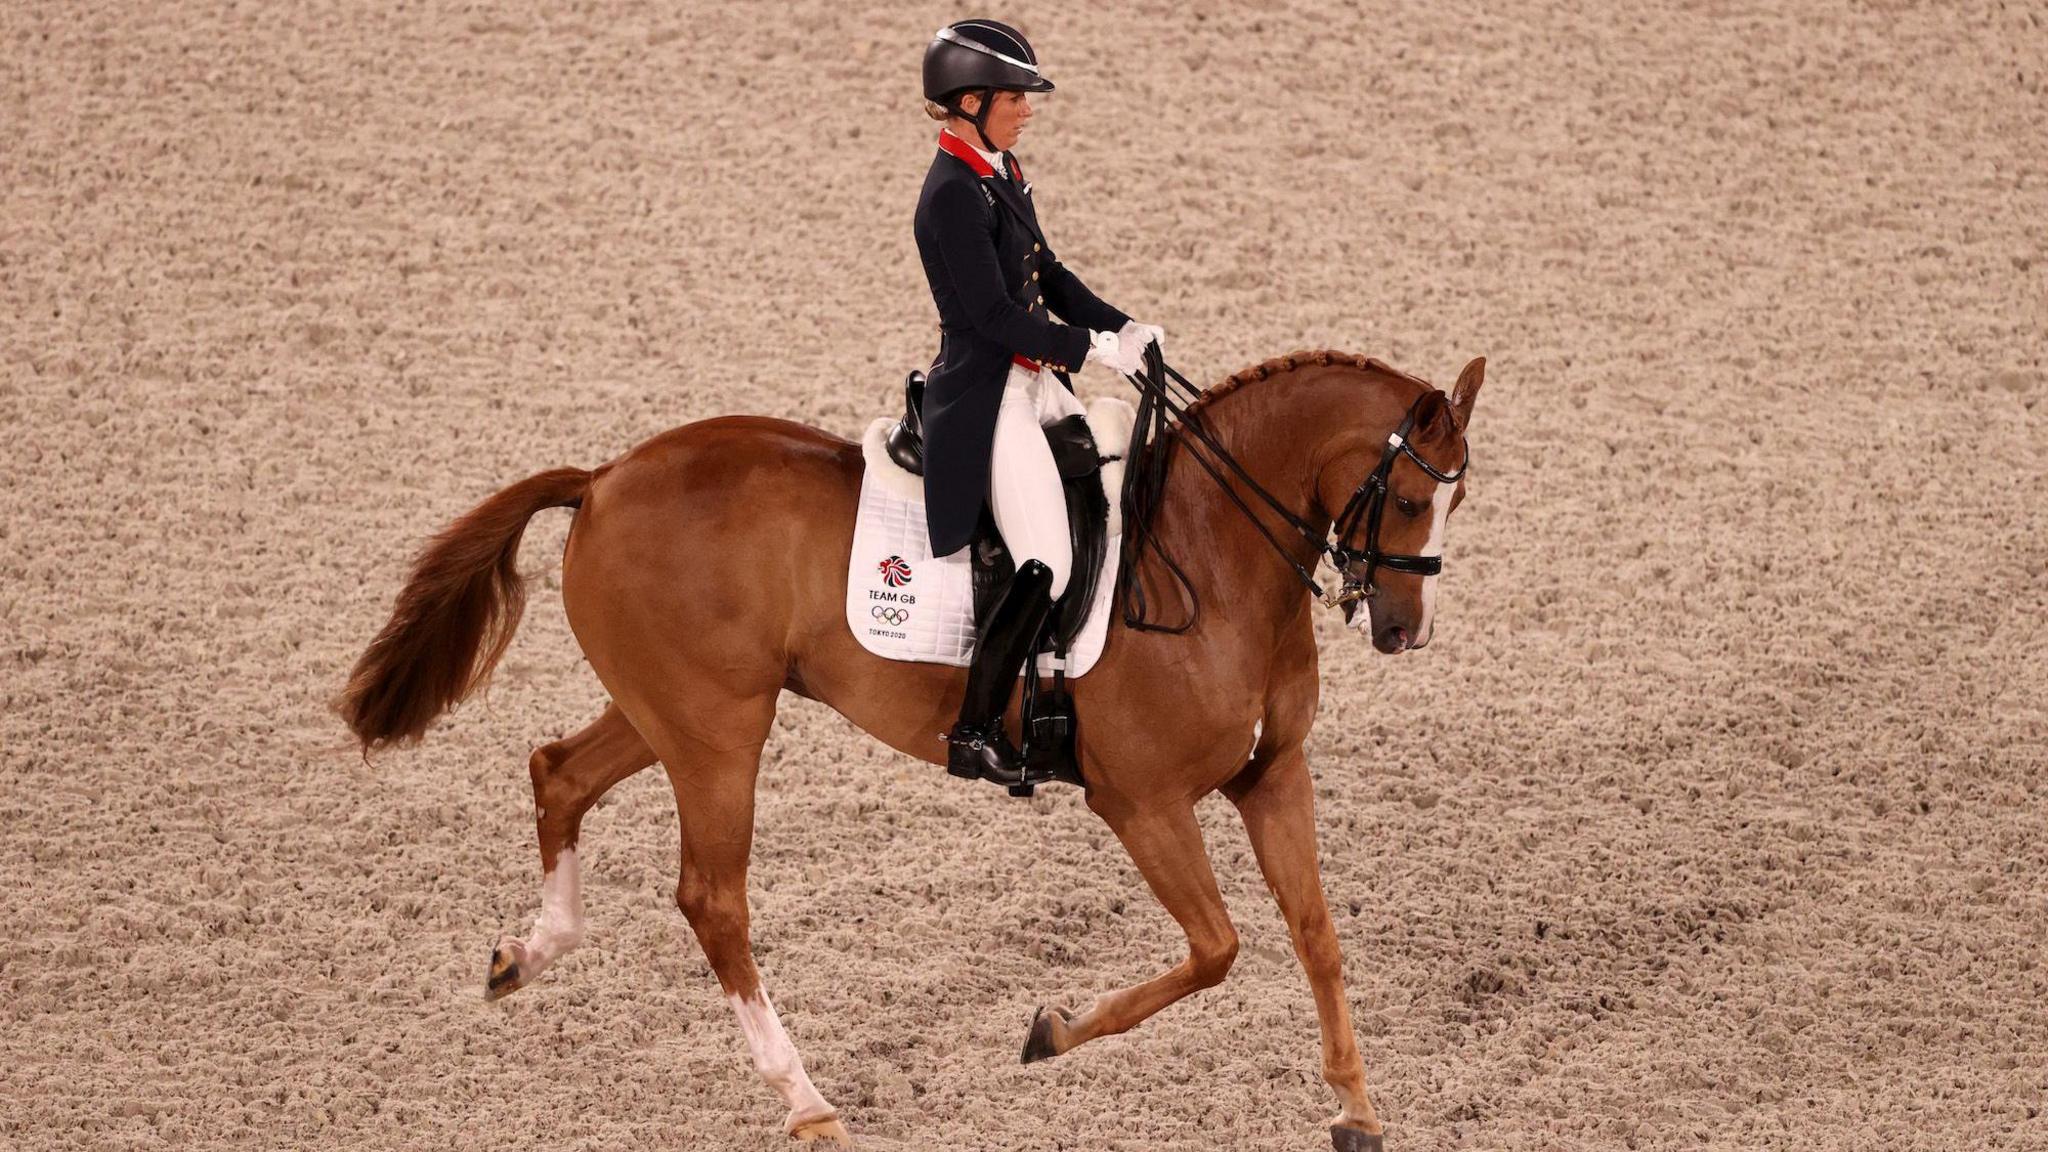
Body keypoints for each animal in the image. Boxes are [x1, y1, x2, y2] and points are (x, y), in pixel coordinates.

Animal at [339, 350, 1490, 1147]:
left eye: (1457, 496)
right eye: (1408, 496)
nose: (1404, 630)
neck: (1209, 552)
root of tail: (608, 475)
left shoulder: (1270, 777)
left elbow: (1315, 936)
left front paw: (1356, 1111)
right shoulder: (1141, 802)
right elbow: (1218, 948)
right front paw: (1051, 1028)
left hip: (672, 711)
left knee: (558, 773)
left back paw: (526, 954)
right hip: (718, 735)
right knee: (712, 900)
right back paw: (807, 1103)